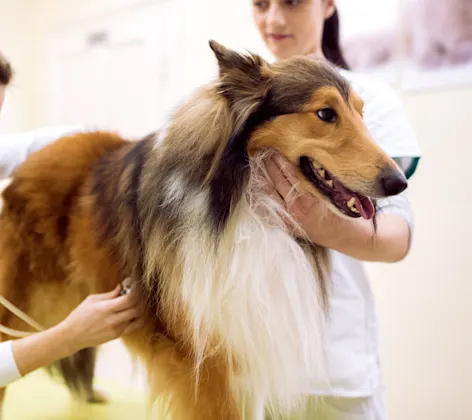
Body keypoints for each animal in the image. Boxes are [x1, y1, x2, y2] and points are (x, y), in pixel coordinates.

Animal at [0, 40, 406, 420]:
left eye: (361, 113)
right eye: (325, 113)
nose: (399, 182)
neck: (245, 203)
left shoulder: (247, 344)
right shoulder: (199, 363)